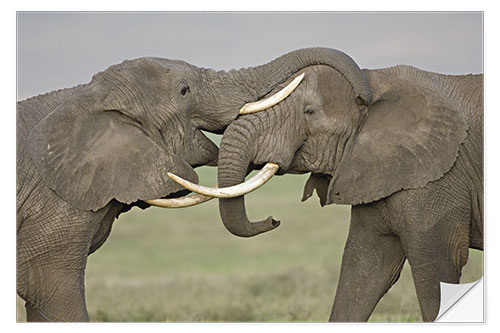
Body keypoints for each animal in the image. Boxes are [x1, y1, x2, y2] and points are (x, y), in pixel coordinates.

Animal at [170, 50, 482, 320]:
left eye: (309, 112)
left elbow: (437, 268)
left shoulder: (440, 175)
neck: (378, 82)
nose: (272, 220)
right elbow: (364, 268)